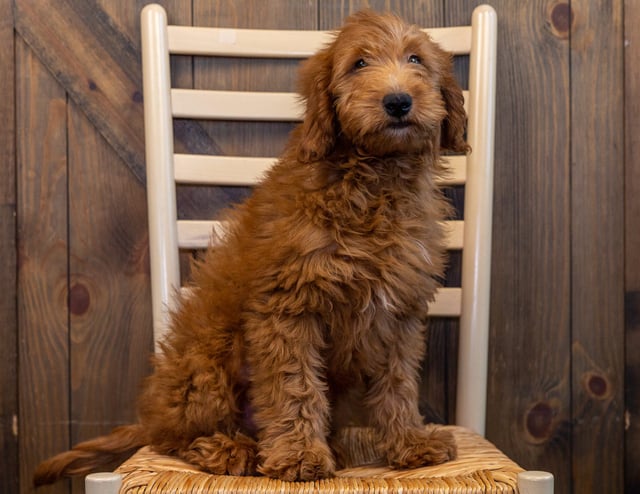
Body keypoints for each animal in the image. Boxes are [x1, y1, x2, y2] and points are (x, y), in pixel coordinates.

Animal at [32, 9, 468, 484]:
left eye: (416, 59)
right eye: (358, 64)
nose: (398, 101)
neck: (375, 181)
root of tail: (152, 416)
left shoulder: (398, 314)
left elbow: (398, 384)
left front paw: (410, 442)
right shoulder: (287, 306)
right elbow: (294, 386)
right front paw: (298, 454)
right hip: (209, 359)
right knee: (176, 437)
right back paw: (229, 448)